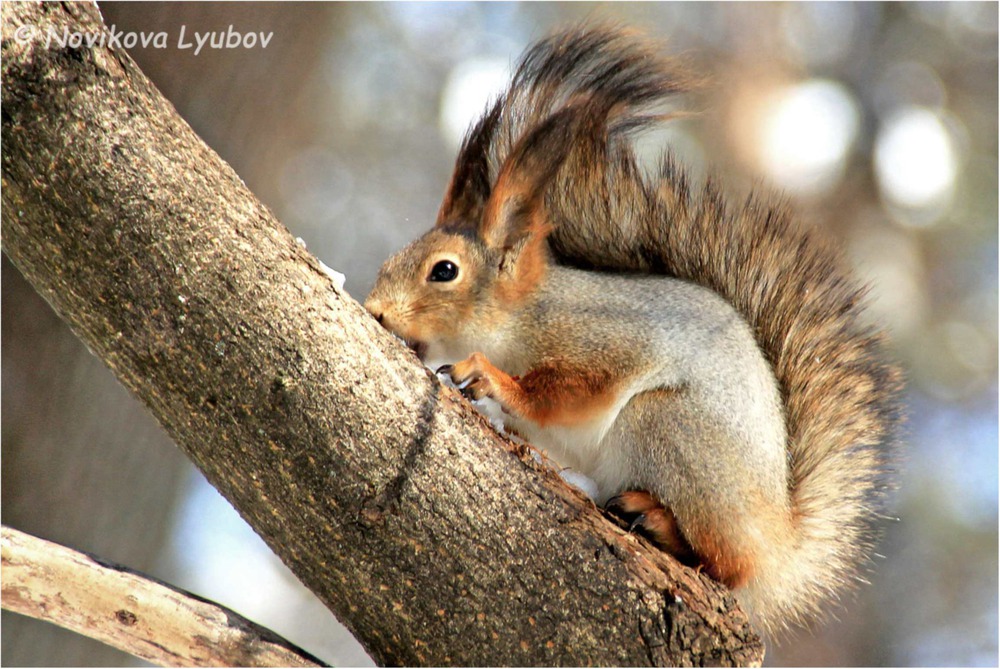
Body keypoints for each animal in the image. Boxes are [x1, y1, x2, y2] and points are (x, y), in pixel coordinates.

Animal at [364, 23, 904, 636]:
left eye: (444, 271)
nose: (376, 310)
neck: (521, 316)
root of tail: (779, 541)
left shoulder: (604, 343)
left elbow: (568, 394)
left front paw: (489, 377)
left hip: (668, 427)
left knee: (729, 566)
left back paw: (657, 520)